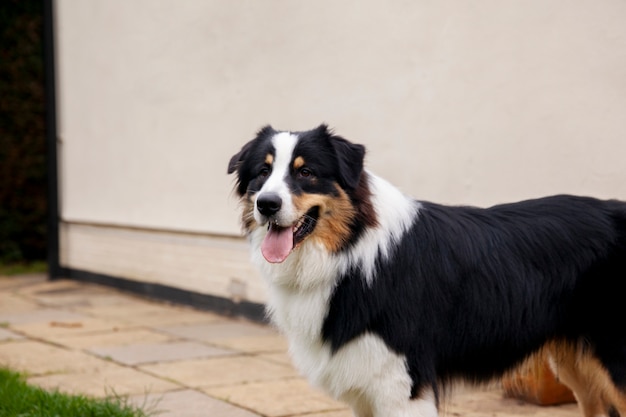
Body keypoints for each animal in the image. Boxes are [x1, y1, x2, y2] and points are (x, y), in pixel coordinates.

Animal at [228, 124, 624, 416]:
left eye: (306, 172)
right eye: (262, 172)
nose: (266, 204)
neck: (350, 250)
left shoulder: (401, 384)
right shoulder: (366, 382)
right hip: (577, 361)